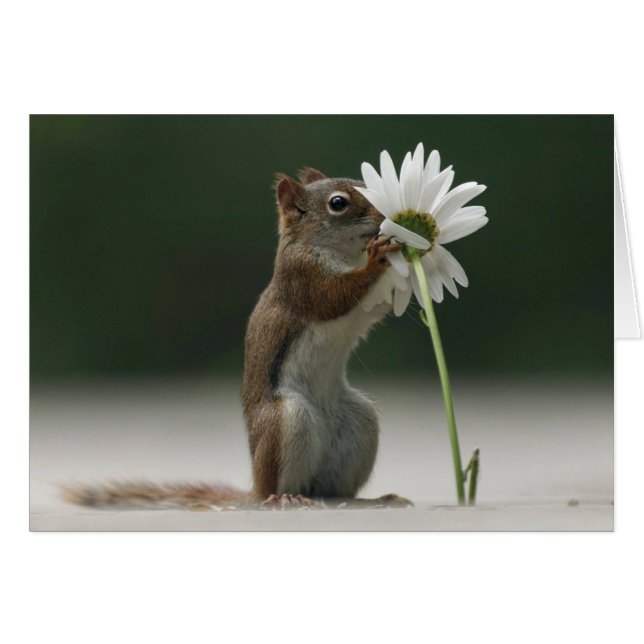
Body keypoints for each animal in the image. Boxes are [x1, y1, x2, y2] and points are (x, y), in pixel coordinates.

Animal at [63, 167, 412, 511]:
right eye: (338, 203)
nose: (385, 215)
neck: (340, 252)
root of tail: (254, 490)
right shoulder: (304, 279)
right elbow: (336, 297)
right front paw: (377, 258)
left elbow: (376, 306)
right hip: (285, 419)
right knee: (278, 487)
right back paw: (285, 497)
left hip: (359, 422)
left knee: (335, 491)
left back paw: (374, 499)